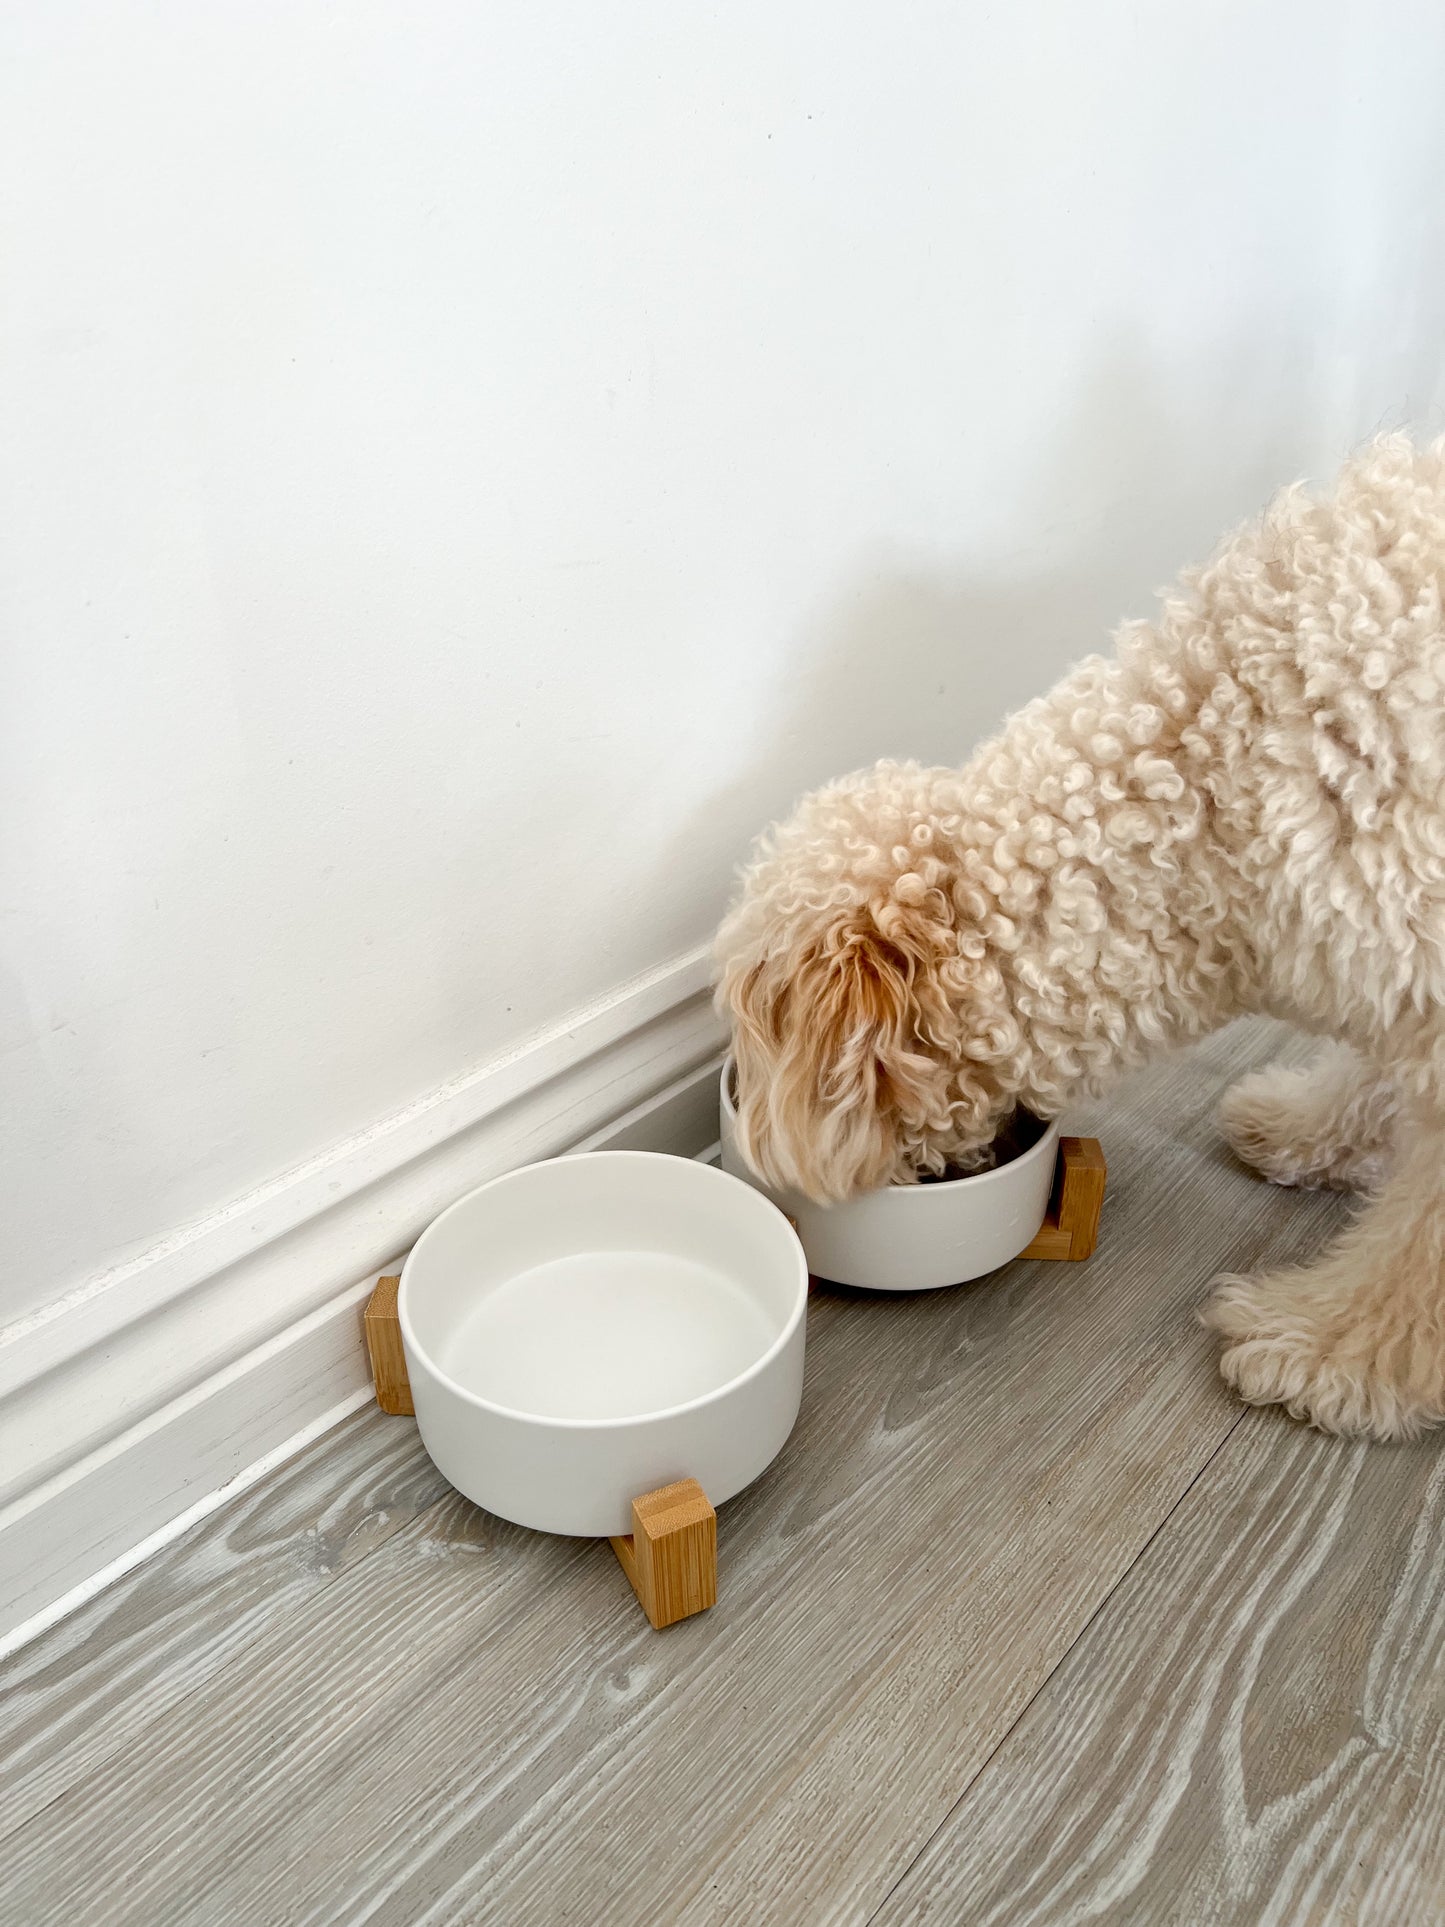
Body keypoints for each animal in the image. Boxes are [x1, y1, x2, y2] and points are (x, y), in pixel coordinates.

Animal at [720, 429, 1445, 1441]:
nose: (753, 1140)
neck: (1221, 789)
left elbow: (1423, 1242)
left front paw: (1331, 1351)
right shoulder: (1395, 956)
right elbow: (1369, 1078)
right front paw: (1308, 1129)